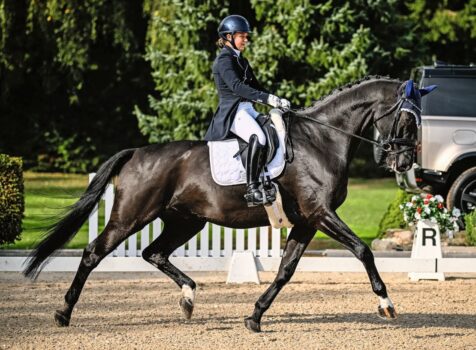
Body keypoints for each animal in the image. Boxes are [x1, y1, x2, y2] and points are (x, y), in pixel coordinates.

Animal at [24, 75, 434, 332]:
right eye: (407, 121)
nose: (403, 164)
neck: (322, 140)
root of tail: (137, 152)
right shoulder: (321, 214)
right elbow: (363, 250)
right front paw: (386, 304)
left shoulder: (306, 222)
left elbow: (285, 271)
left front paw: (255, 317)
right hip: (132, 215)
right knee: (94, 252)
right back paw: (63, 313)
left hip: (186, 221)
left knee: (154, 253)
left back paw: (189, 298)